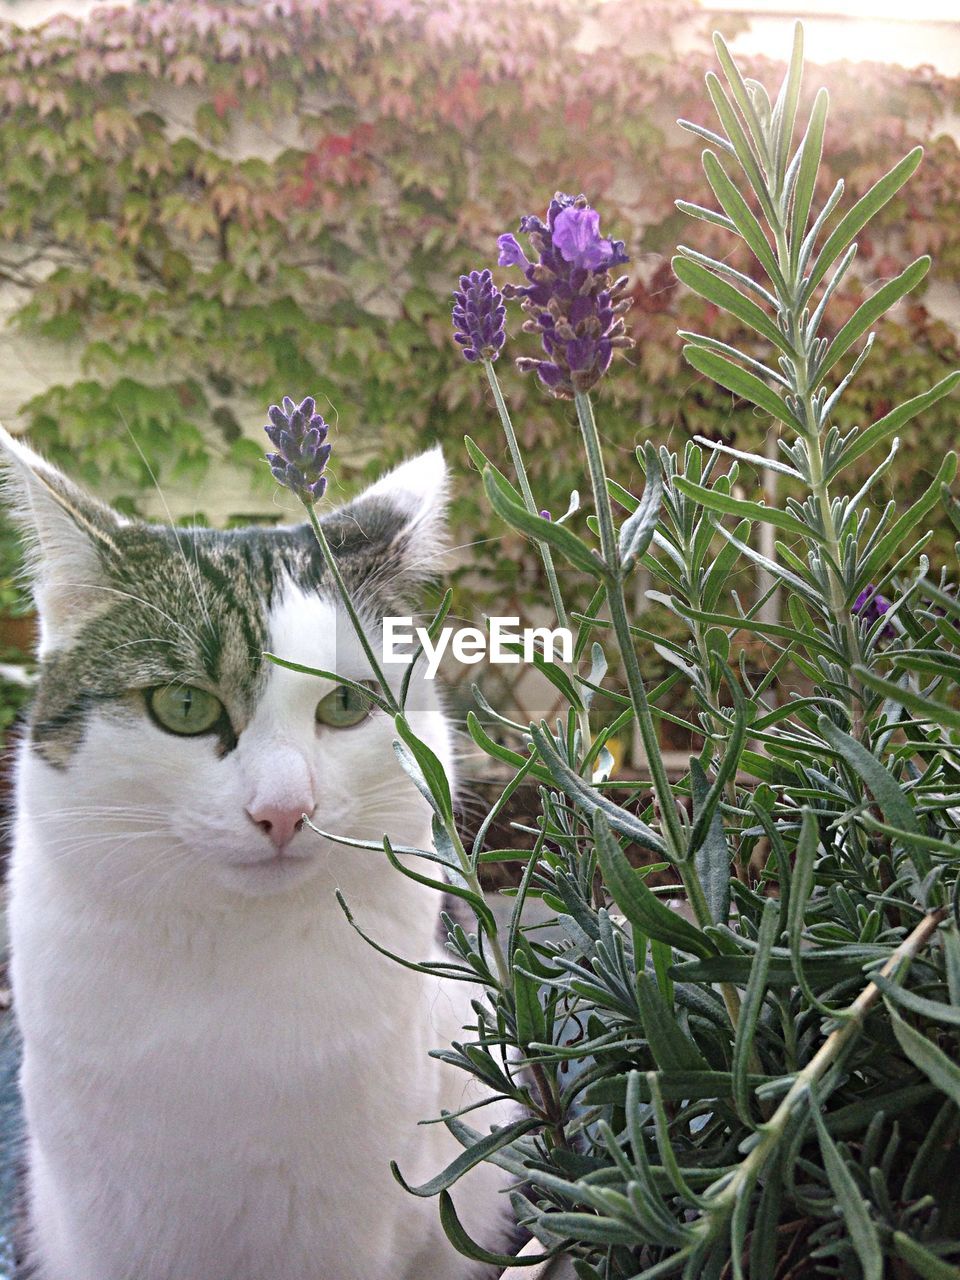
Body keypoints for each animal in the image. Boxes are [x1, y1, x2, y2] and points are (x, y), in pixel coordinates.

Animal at [1, 430, 512, 1280]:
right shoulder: (106, 1226)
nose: (284, 810)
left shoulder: (356, 1223)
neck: (235, 955)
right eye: (183, 706)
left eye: (345, 705)